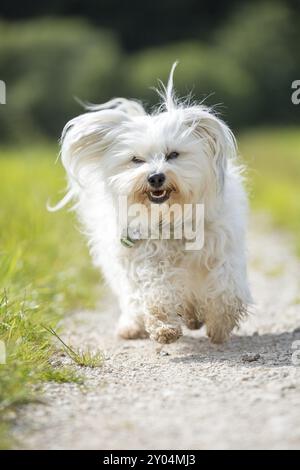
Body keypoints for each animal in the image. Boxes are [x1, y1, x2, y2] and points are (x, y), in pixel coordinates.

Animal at [55, 65, 251, 346]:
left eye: (173, 154)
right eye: (136, 160)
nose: (155, 177)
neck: (169, 217)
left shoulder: (222, 248)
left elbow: (226, 287)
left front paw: (220, 324)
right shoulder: (147, 258)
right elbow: (156, 291)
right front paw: (164, 327)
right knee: (131, 298)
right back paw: (132, 325)